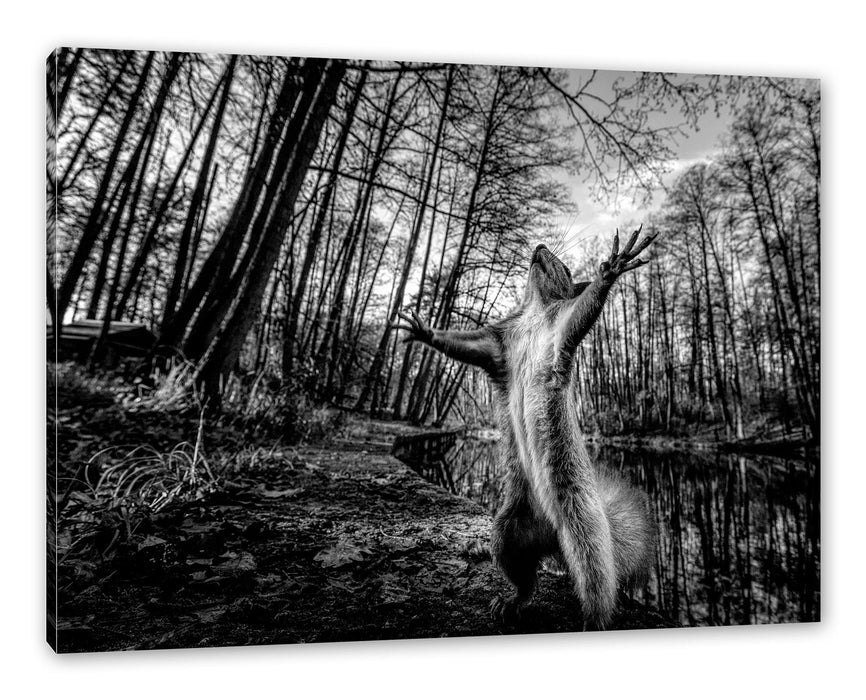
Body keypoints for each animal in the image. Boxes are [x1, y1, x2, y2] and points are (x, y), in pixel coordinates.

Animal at [397, 227, 657, 629]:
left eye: (565, 267)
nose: (539, 247)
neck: (534, 309)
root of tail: (552, 537)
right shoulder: (498, 345)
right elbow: (467, 346)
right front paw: (425, 331)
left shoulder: (561, 330)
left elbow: (583, 311)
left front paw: (611, 269)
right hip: (509, 531)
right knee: (525, 579)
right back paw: (511, 603)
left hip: (583, 527)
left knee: (597, 583)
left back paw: (593, 620)